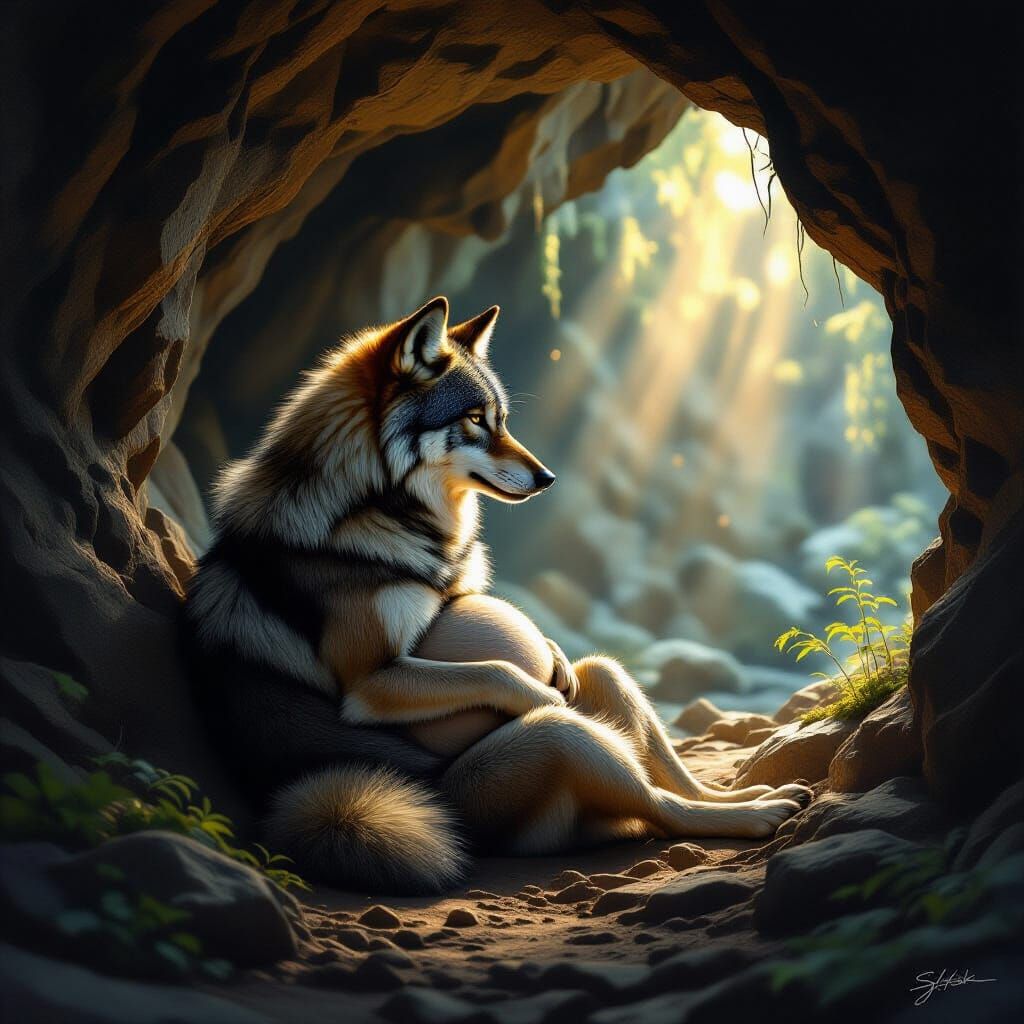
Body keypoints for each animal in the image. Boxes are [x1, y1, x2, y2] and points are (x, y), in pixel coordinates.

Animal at [181, 297, 811, 894]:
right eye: (475, 420)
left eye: (503, 419)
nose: (549, 478)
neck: (377, 513)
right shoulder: (369, 680)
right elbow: (500, 670)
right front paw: (541, 689)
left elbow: (536, 653)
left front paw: (552, 659)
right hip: (553, 745)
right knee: (659, 805)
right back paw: (755, 815)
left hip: (603, 685)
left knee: (648, 742)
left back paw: (760, 796)